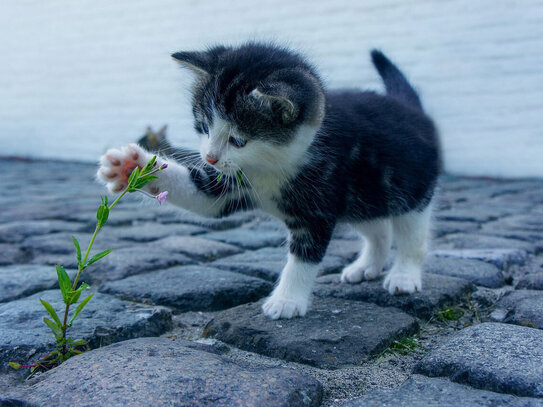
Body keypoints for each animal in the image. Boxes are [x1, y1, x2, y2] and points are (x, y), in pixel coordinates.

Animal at [98, 42, 440, 322]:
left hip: (410, 189)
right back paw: (366, 266)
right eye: (204, 126)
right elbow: (202, 196)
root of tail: (411, 109)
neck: (271, 166)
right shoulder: (230, 184)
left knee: (411, 235)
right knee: (378, 228)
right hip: (362, 197)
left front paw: (287, 300)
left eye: (238, 140)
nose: (209, 157)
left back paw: (404, 275)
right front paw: (131, 167)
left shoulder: (318, 203)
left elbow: (304, 256)